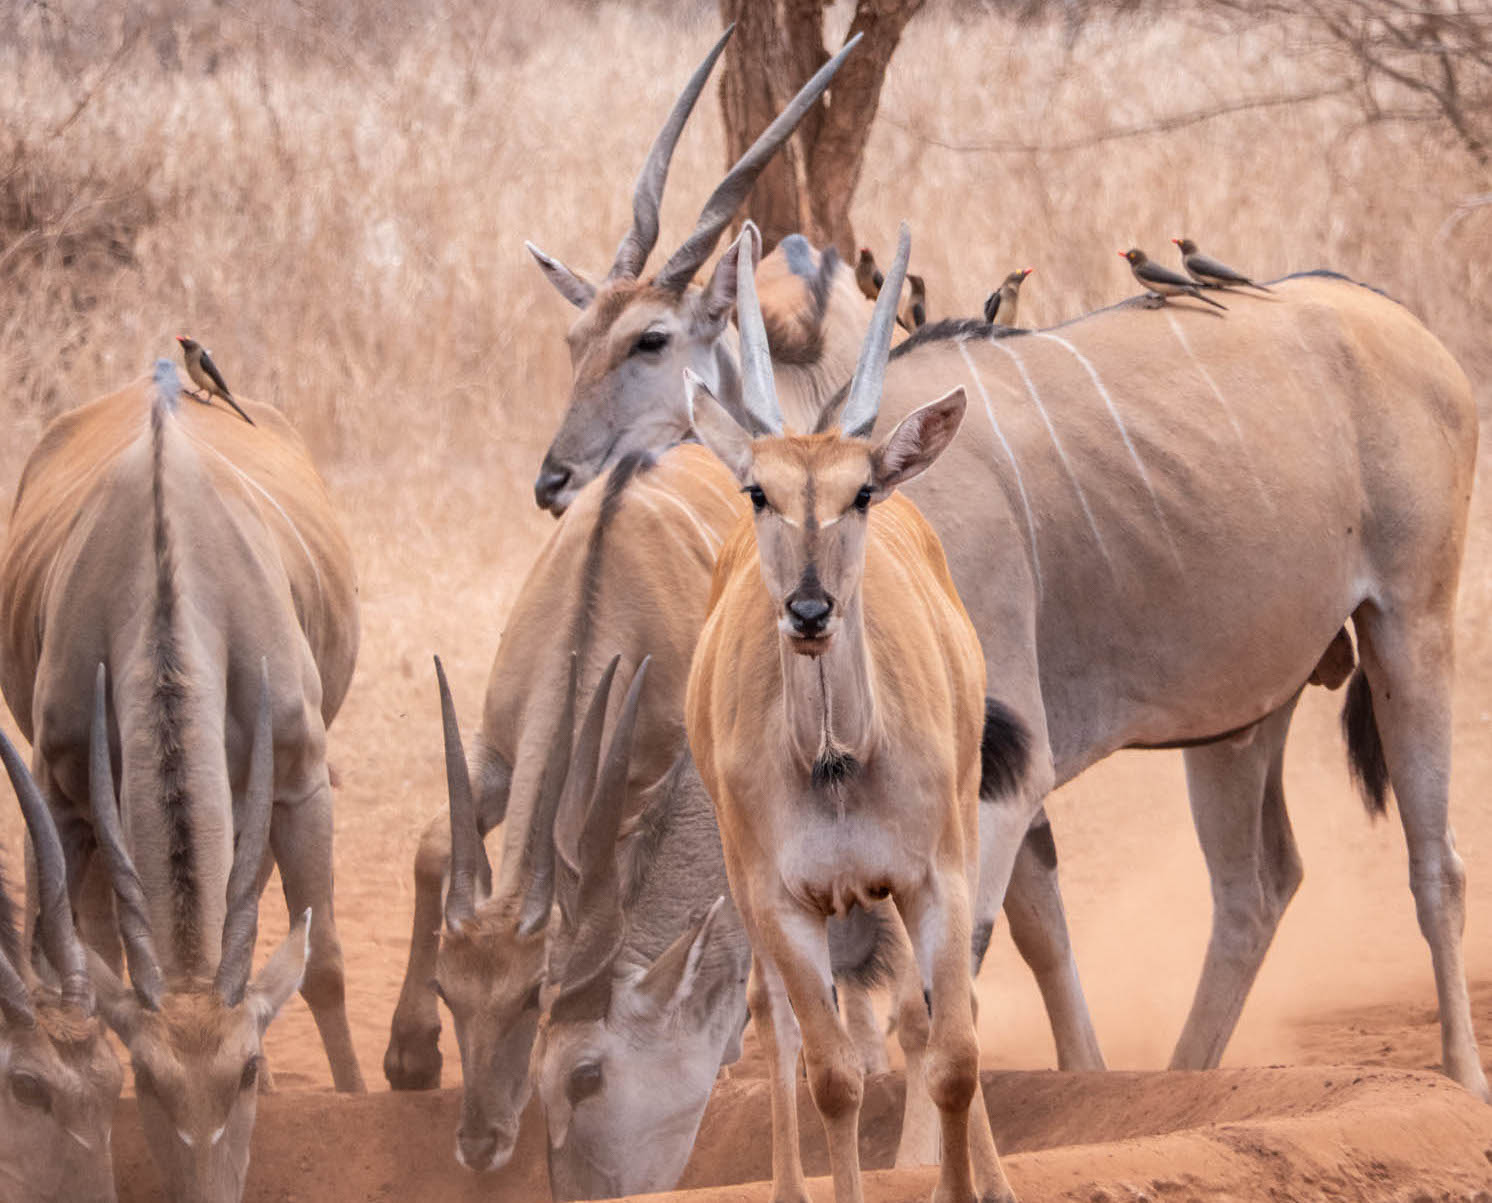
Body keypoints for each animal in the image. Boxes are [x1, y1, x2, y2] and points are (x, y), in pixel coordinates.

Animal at [686, 223, 1014, 1203]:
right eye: (758, 490)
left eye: (860, 491)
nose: (808, 610)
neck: (835, 760)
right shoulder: (779, 899)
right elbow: (832, 1072)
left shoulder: (933, 875)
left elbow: (953, 1052)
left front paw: (966, 1187)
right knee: (775, 1019)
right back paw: (790, 1185)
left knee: (940, 1016)